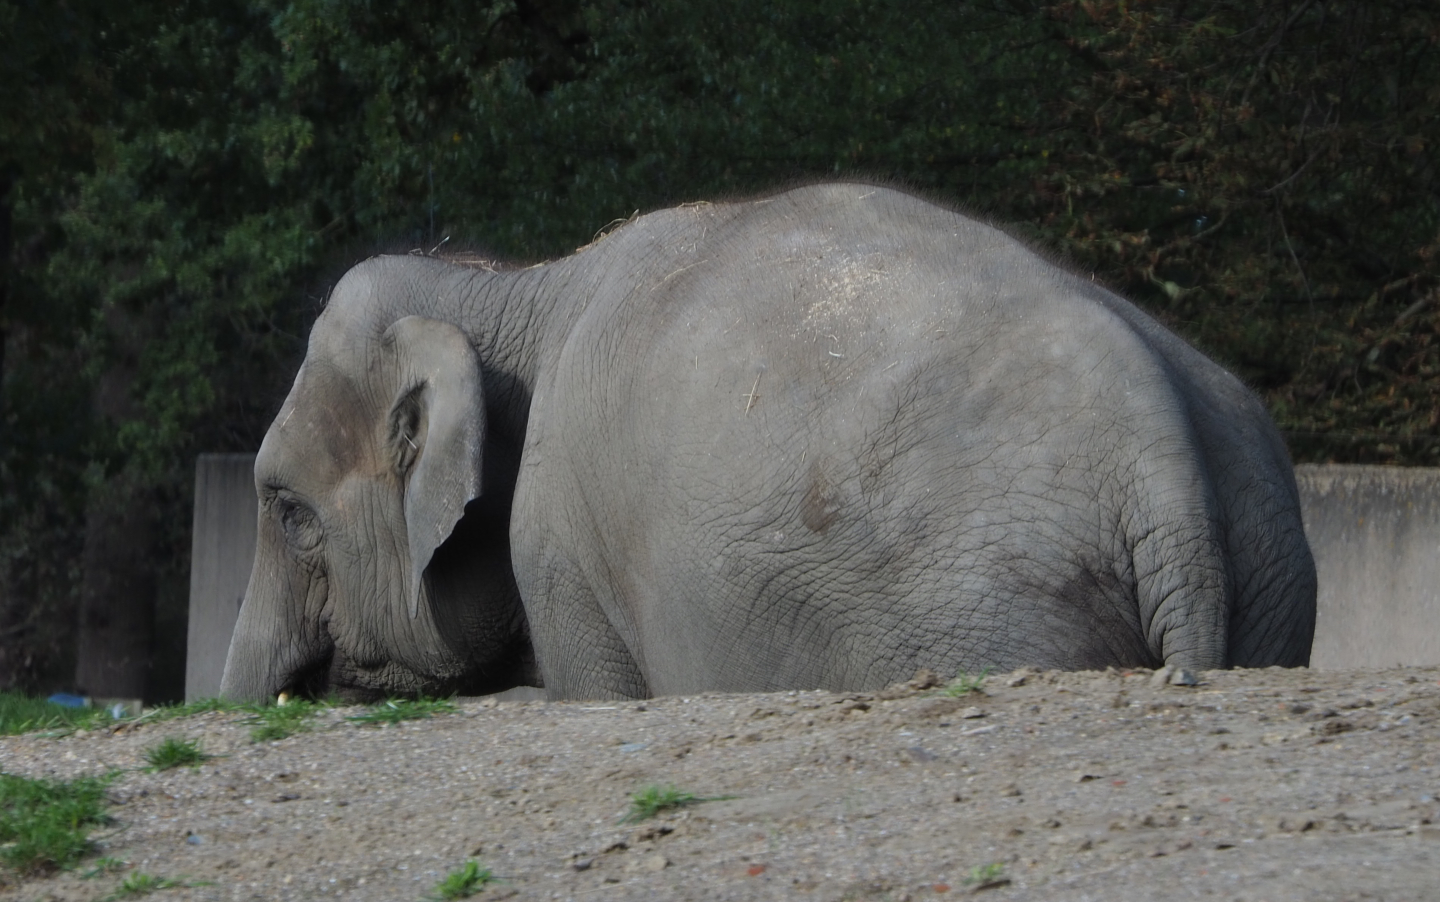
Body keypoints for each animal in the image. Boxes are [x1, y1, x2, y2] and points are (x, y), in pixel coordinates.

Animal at [219, 183, 1316, 702]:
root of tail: (1163, 465)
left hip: (990, 608)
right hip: (1267, 582)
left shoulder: (562, 551)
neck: (514, 287)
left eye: (288, 509)